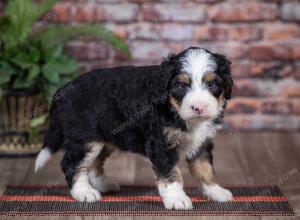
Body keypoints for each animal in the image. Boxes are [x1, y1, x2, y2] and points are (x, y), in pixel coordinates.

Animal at [35, 46, 234, 210]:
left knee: (93, 162)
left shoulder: (202, 142)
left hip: (105, 138)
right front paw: (177, 198)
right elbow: (172, 173)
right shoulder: (161, 144)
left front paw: (216, 191)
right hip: (85, 137)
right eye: (180, 85)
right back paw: (84, 192)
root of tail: (63, 90)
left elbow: (205, 169)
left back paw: (103, 184)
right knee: (72, 163)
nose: (198, 108)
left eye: (212, 84)